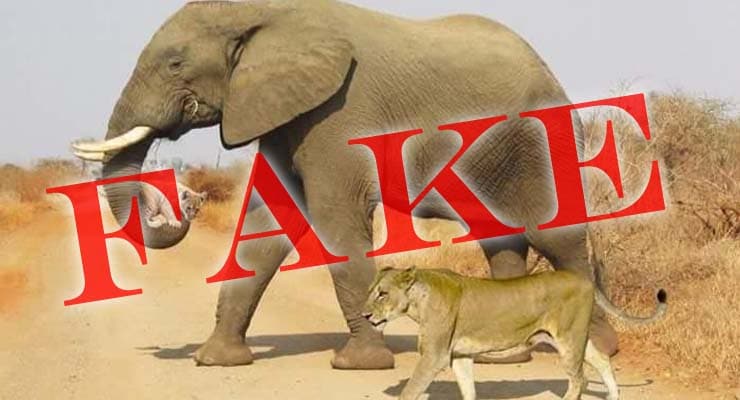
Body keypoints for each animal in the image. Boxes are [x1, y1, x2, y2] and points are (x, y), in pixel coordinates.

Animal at [72, 0, 622, 369]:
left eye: (175, 63)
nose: (185, 202)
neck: (269, 13)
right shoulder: (282, 111)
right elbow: (267, 224)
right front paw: (216, 360)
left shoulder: (338, 113)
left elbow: (336, 219)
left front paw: (360, 364)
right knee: (500, 238)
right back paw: (502, 359)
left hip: (540, 140)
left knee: (556, 236)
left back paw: (598, 348)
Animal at [362, 267, 667, 400]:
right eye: (370, 291)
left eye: (382, 294)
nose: (364, 316)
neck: (417, 301)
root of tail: (584, 276)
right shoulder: (460, 356)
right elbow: (468, 389)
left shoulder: (434, 356)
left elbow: (410, 391)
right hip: (575, 336)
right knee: (602, 359)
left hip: (568, 340)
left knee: (578, 380)